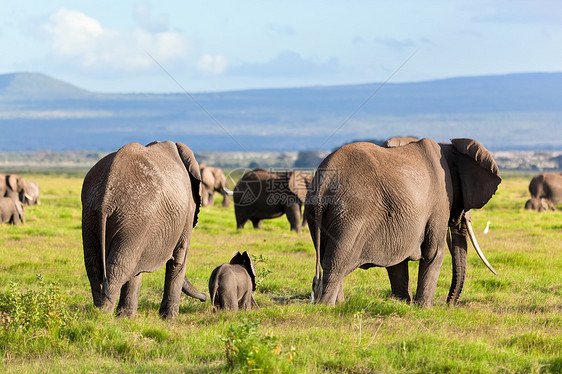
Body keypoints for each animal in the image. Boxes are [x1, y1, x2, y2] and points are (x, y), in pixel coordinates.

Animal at [81, 140, 206, 318]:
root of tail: (106, 199)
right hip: (135, 217)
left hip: (93, 214)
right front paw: (169, 319)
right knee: (118, 268)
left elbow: (136, 270)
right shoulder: (188, 210)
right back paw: (102, 317)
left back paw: (97, 312)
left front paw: (126, 317)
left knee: (94, 265)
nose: (205, 298)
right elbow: (179, 258)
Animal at [306, 137, 498, 306]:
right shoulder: (440, 201)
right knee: (335, 264)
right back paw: (327, 308)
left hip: (316, 214)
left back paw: (338, 305)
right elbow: (434, 253)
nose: (448, 305)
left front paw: (403, 304)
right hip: (351, 216)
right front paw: (423, 308)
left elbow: (396, 261)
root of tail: (324, 182)